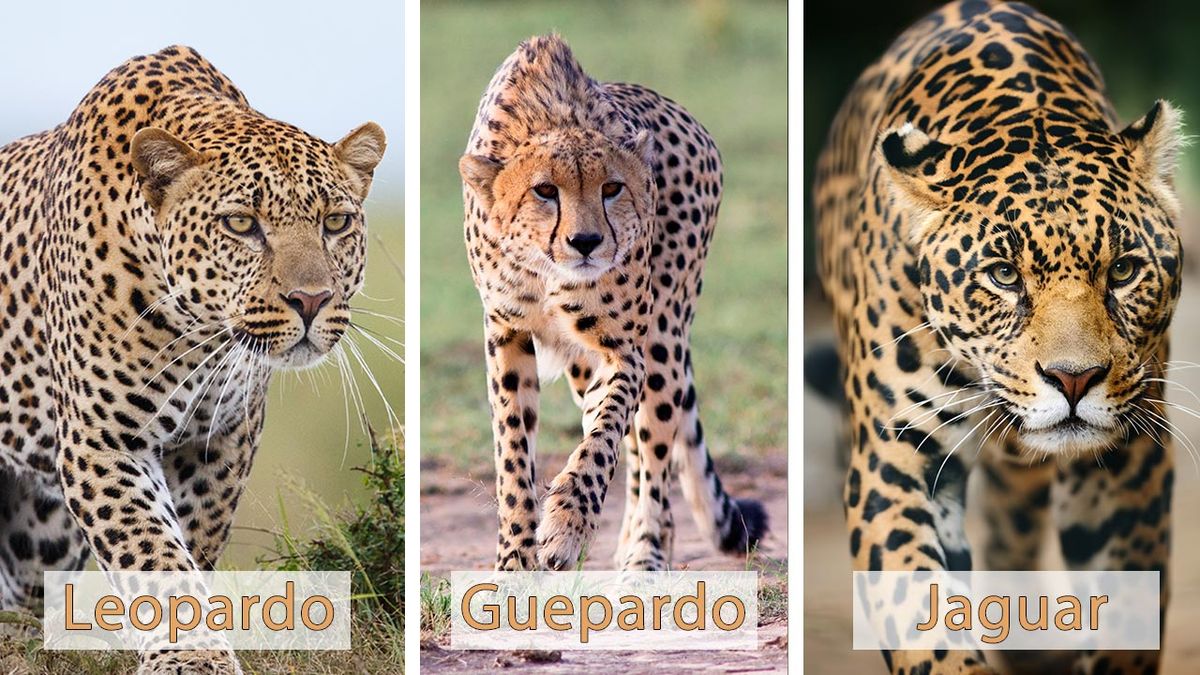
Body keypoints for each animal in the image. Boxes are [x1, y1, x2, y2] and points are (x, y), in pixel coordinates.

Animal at [0, 45, 385, 672]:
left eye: (335, 222)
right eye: (241, 224)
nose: (311, 300)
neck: (198, 336)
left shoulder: (220, 441)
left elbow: (191, 543)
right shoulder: (104, 443)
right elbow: (151, 552)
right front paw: (193, 655)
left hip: (40, 535)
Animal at [457, 34, 768, 572]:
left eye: (612, 188)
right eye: (544, 190)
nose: (586, 242)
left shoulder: (624, 350)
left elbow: (601, 441)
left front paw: (566, 526)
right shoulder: (507, 333)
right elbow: (514, 452)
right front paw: (515, 560)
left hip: (663, 341)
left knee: (652, 450)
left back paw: (645, 554)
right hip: (586, 365)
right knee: (635, 444)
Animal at [813, 1, 1183, 673]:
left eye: (1122, 270)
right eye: (1004, 276)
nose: (1073, 380)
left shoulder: (1128, 461)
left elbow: (1128, 614)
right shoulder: (894, 456)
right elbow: (919, 609)